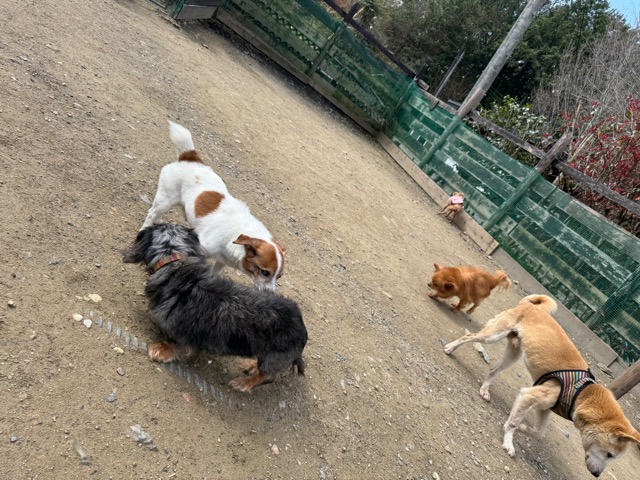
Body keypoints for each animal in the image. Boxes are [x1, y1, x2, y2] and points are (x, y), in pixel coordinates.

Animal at [123, 223, 307, 393]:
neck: (175, 262)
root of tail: (301, 326)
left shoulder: (182, 332)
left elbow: (173, 343)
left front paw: (160, 350)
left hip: (273, 358)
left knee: (267, 377)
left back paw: (244, 383)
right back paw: (252, 365)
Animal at [141, 121, 285, 292]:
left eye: (279, 276)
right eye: (265, 272)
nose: (271, 294)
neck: (235, 234)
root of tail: (191, 158)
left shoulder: (222, 261)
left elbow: (214, 272)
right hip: (166, 200)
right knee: (151, 212)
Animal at [443, 295, 640, 477]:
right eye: (610, 454)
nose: (597, 474)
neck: (582, 394)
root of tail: (529, 305)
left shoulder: (544, 408)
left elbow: (538, 432)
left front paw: (523, 429)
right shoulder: (529, 395)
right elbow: (513, 423)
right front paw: (508, 442)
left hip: (513, 354)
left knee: (492, 371)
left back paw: (484, 390)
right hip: (492, 336)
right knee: (469, 336)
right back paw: (450, 348)